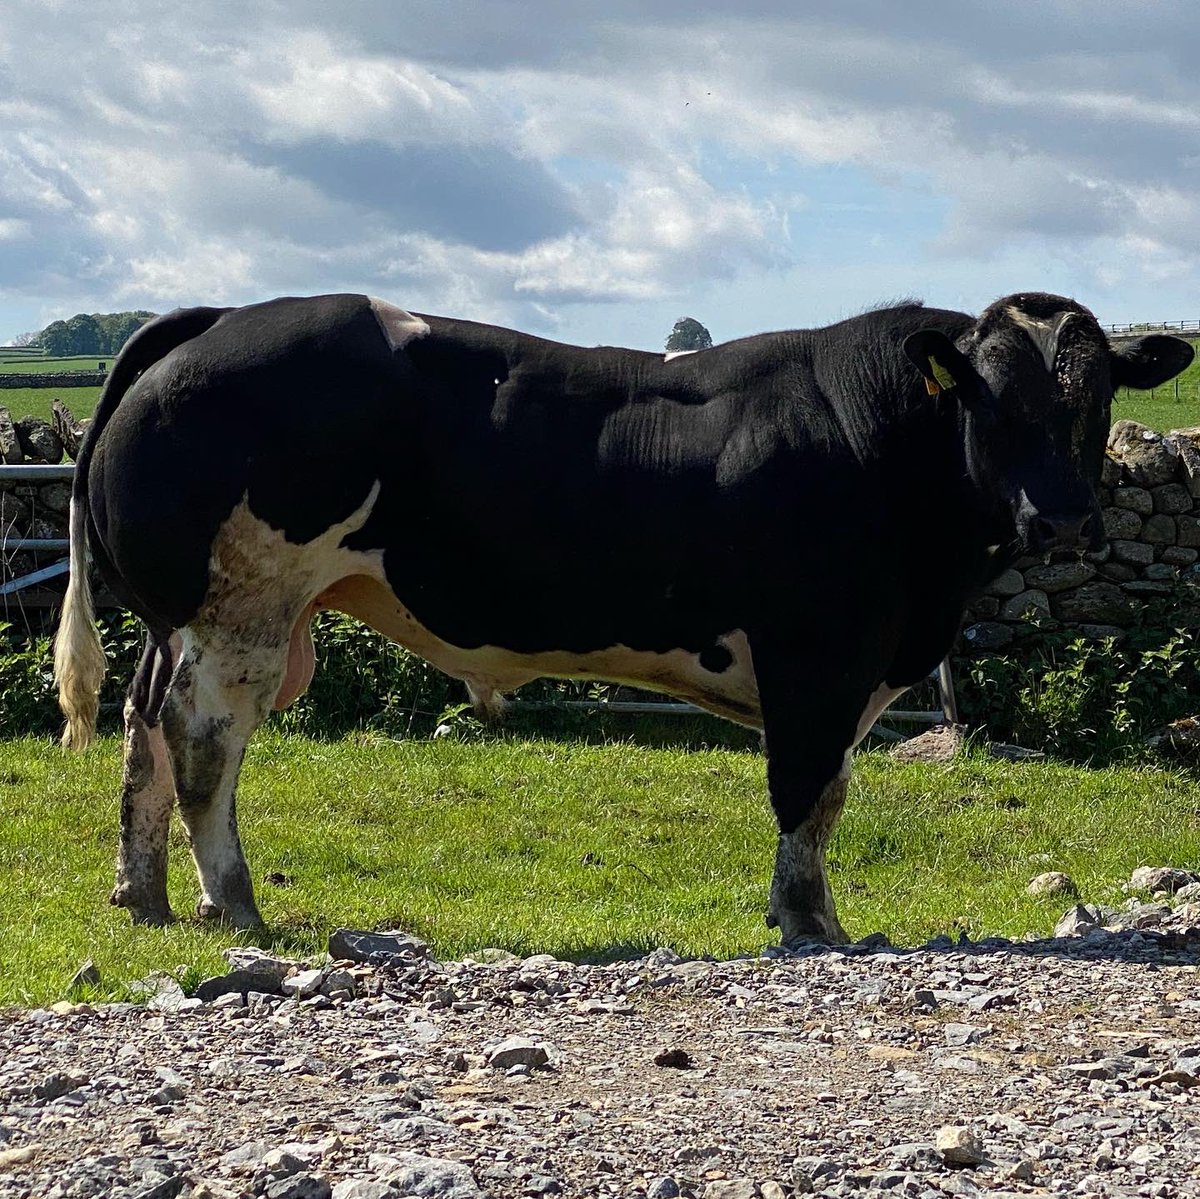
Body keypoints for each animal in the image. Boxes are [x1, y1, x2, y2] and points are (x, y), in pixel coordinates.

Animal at [54, 292, 1193, 942]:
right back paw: (235, 902)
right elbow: (807, 795)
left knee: (143, 730)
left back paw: (144, 894)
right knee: (204, 741)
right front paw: (811, 925)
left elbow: (823, 797)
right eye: (991, 398)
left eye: (1093, 398)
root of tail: (220, 315)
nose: (1064, 516)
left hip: (182, 619)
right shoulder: (817, 657)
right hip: (241, 608)